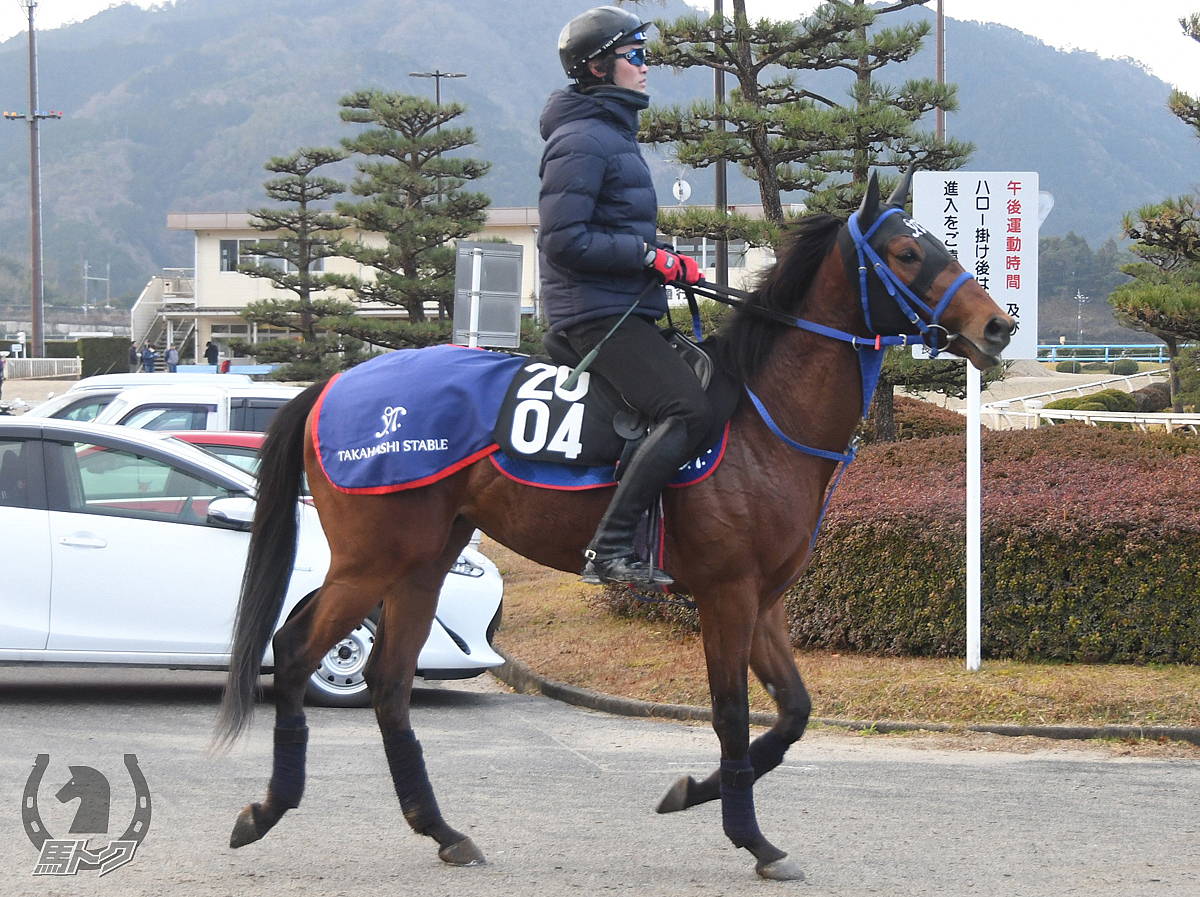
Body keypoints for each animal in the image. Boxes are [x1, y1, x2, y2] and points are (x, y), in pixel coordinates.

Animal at [216, 171, 1012, 877]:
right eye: (907, 252)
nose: (997, 325)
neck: (762, 419)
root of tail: (332, 385)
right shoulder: (726, 595)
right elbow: (732, 715)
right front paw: (750, 837)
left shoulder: (766, 601)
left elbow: (792, 714)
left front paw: (694, 792)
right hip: (369, 561)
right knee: (295, 653)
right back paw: (267, 809)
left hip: (422, 562)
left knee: (389, 684)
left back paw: (442, 830)